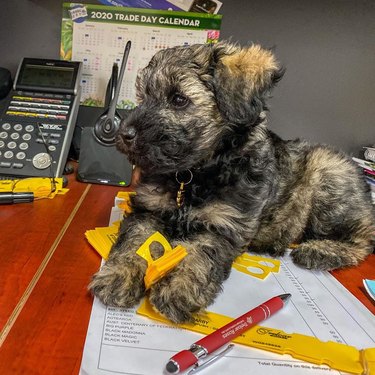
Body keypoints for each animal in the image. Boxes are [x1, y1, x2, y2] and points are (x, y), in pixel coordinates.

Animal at [89, 40, 374, 324]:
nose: (124, 134)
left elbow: (200, 253)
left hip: (327, 177)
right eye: (142, 96)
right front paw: (118, 275)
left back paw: (319, 251)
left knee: (365, 237)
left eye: (179, 99)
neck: (194, 173)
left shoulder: (224, 225)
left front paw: (179, 287)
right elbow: (136, 242)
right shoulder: (148, 209)